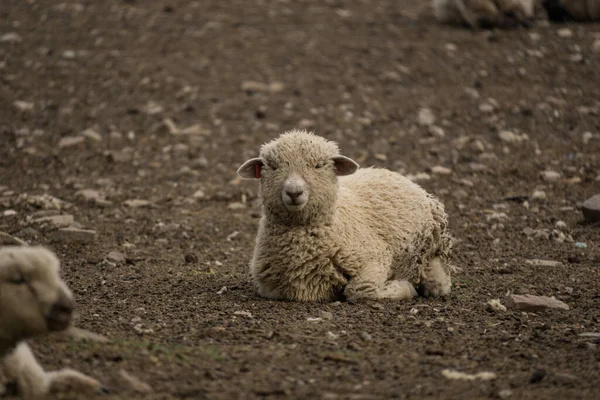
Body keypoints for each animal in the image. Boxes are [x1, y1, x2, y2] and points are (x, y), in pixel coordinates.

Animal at [237, 130, 452, 302]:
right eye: (272, 166)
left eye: (318, 165)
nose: (294, 192)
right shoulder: (270, 287)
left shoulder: (376, 256)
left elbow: (359, 291)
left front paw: (403, 287)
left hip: (429, 248)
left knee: (438, 281)